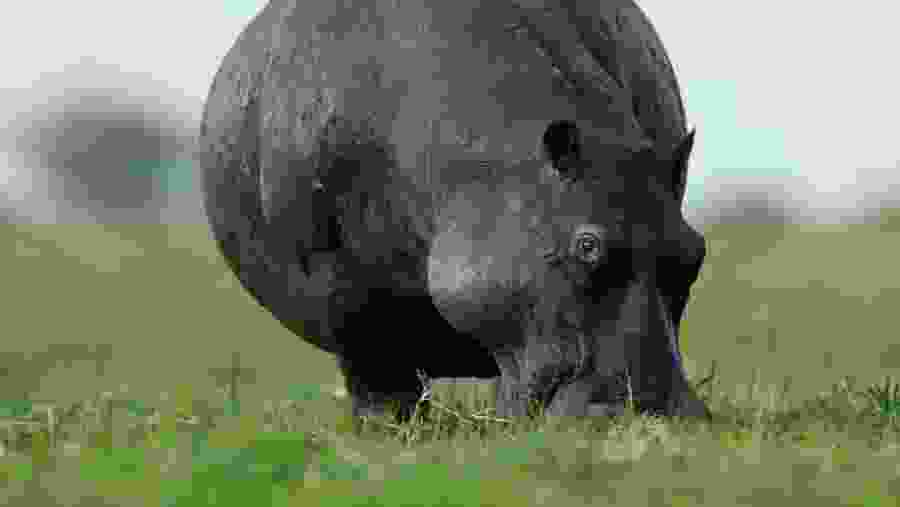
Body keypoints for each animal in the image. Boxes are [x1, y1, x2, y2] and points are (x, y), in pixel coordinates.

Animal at [198, 0, 710, 421]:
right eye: (587, 246)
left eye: (694, 252)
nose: (652, 411)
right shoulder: (337, 285)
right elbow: (376, 374)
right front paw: (389, 432)